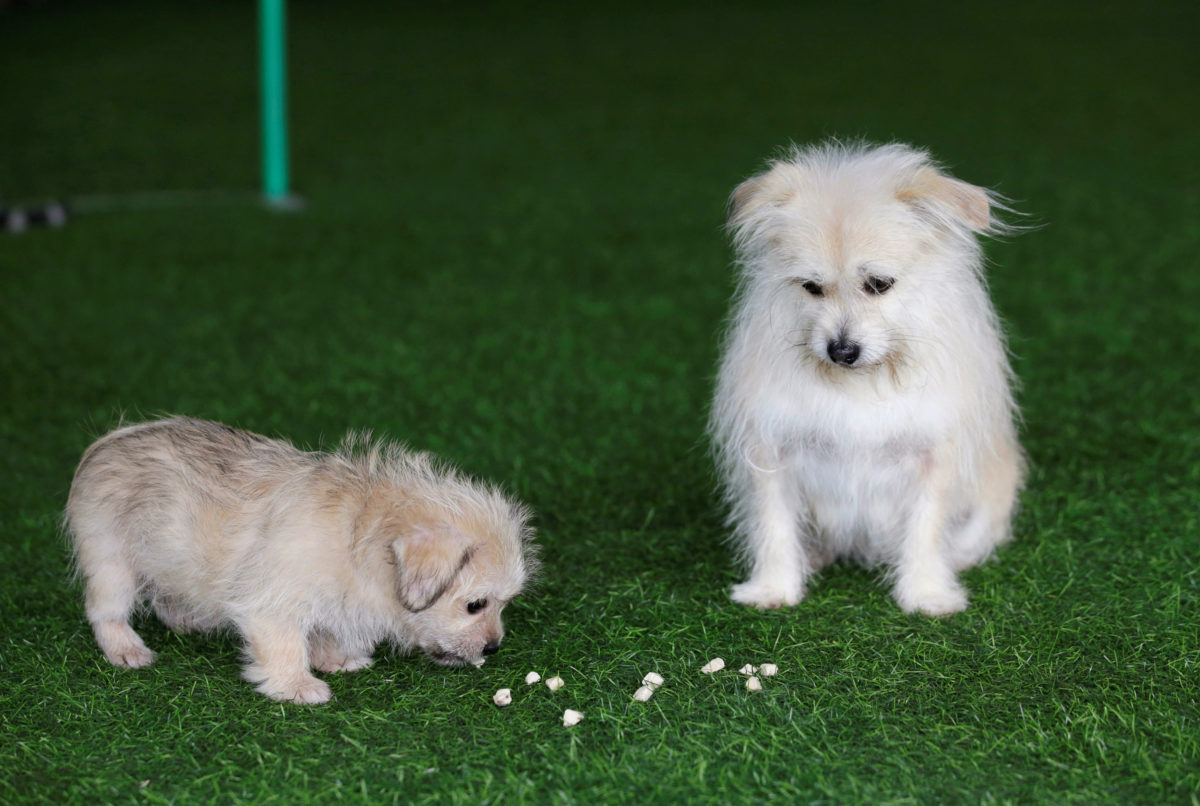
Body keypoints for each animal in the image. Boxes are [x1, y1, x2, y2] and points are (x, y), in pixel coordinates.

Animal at [64, 419, 535, 700]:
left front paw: (336, 659)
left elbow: (325, 629)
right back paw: (126, 649)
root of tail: (105, 444)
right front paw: (298, 685)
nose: (494, 647)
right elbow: (286, 647)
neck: (361, 533)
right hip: (111, 562)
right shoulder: (272, 607)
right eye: (475, 605)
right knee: (105, 612)